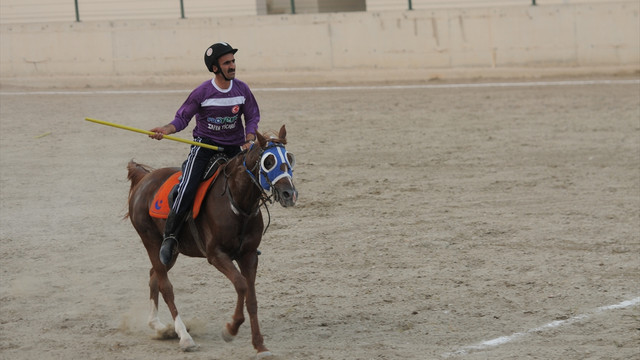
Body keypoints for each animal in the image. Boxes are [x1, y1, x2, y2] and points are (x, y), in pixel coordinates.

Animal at [126, 124, 298, 358]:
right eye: (268, 161)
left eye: (289, 158)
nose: (289, 193)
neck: (237, 203)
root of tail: (144, 178)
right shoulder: (216, 255)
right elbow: (241, 285)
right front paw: (231, 329)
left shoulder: (249, 255)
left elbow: (252, 298)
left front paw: (260, 345)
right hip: (151, 241)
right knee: (166, 286)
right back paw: (184, 337)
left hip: (170, 251)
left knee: (154, 276)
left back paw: (160, 327)